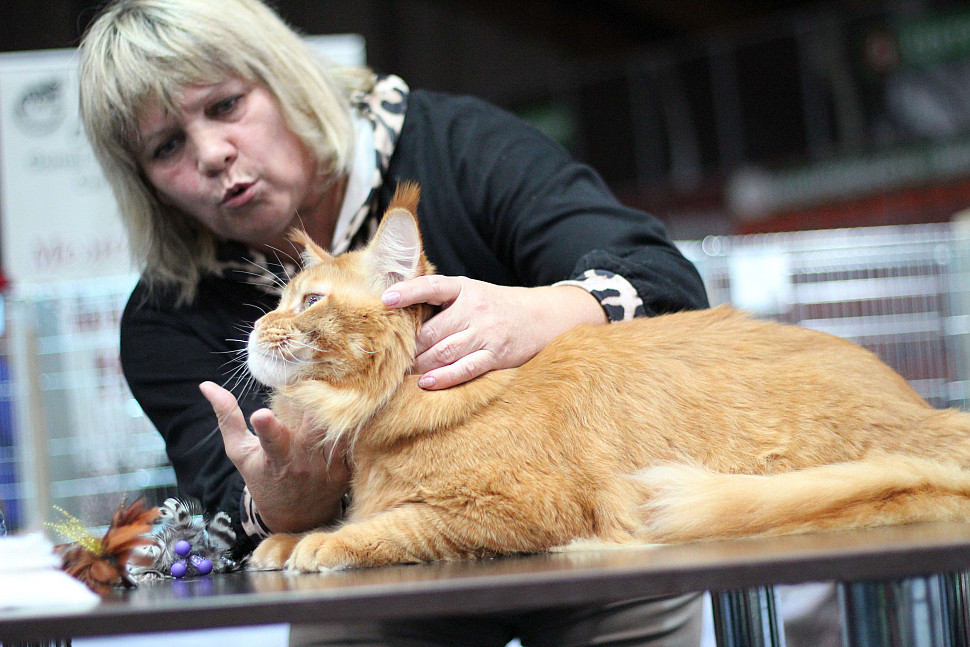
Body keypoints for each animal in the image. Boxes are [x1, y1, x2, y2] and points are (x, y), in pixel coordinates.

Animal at [247, 182, 970, 572]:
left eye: (309, 302)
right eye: (279, 301)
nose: (255, 327)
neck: (380, 414)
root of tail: (931, 409)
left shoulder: (517, 509)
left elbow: (396, 526)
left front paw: (320, 543)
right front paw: (284, 538)